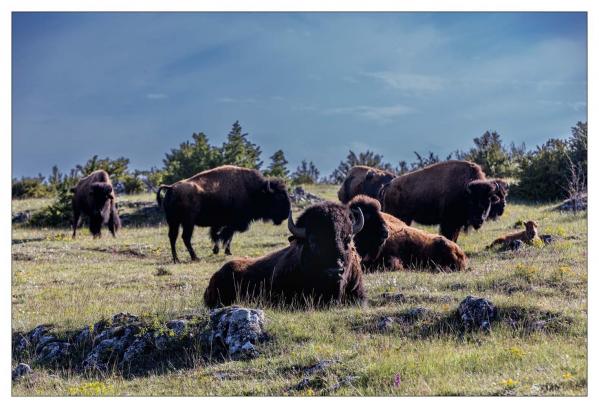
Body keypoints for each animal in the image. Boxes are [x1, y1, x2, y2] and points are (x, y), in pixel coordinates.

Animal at [156, 167, 292, 264]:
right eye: (278, 197)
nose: (286, 214)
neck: (253, 190)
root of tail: (171, 187)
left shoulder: (221, 223)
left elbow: (224, 235)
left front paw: (225, 251)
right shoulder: (234, 223)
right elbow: (225, 235)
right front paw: (218, 250)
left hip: (174, 222)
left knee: (173, 237)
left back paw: (176, 259)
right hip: (187, 222)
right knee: (185, 237)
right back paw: (195, 258)